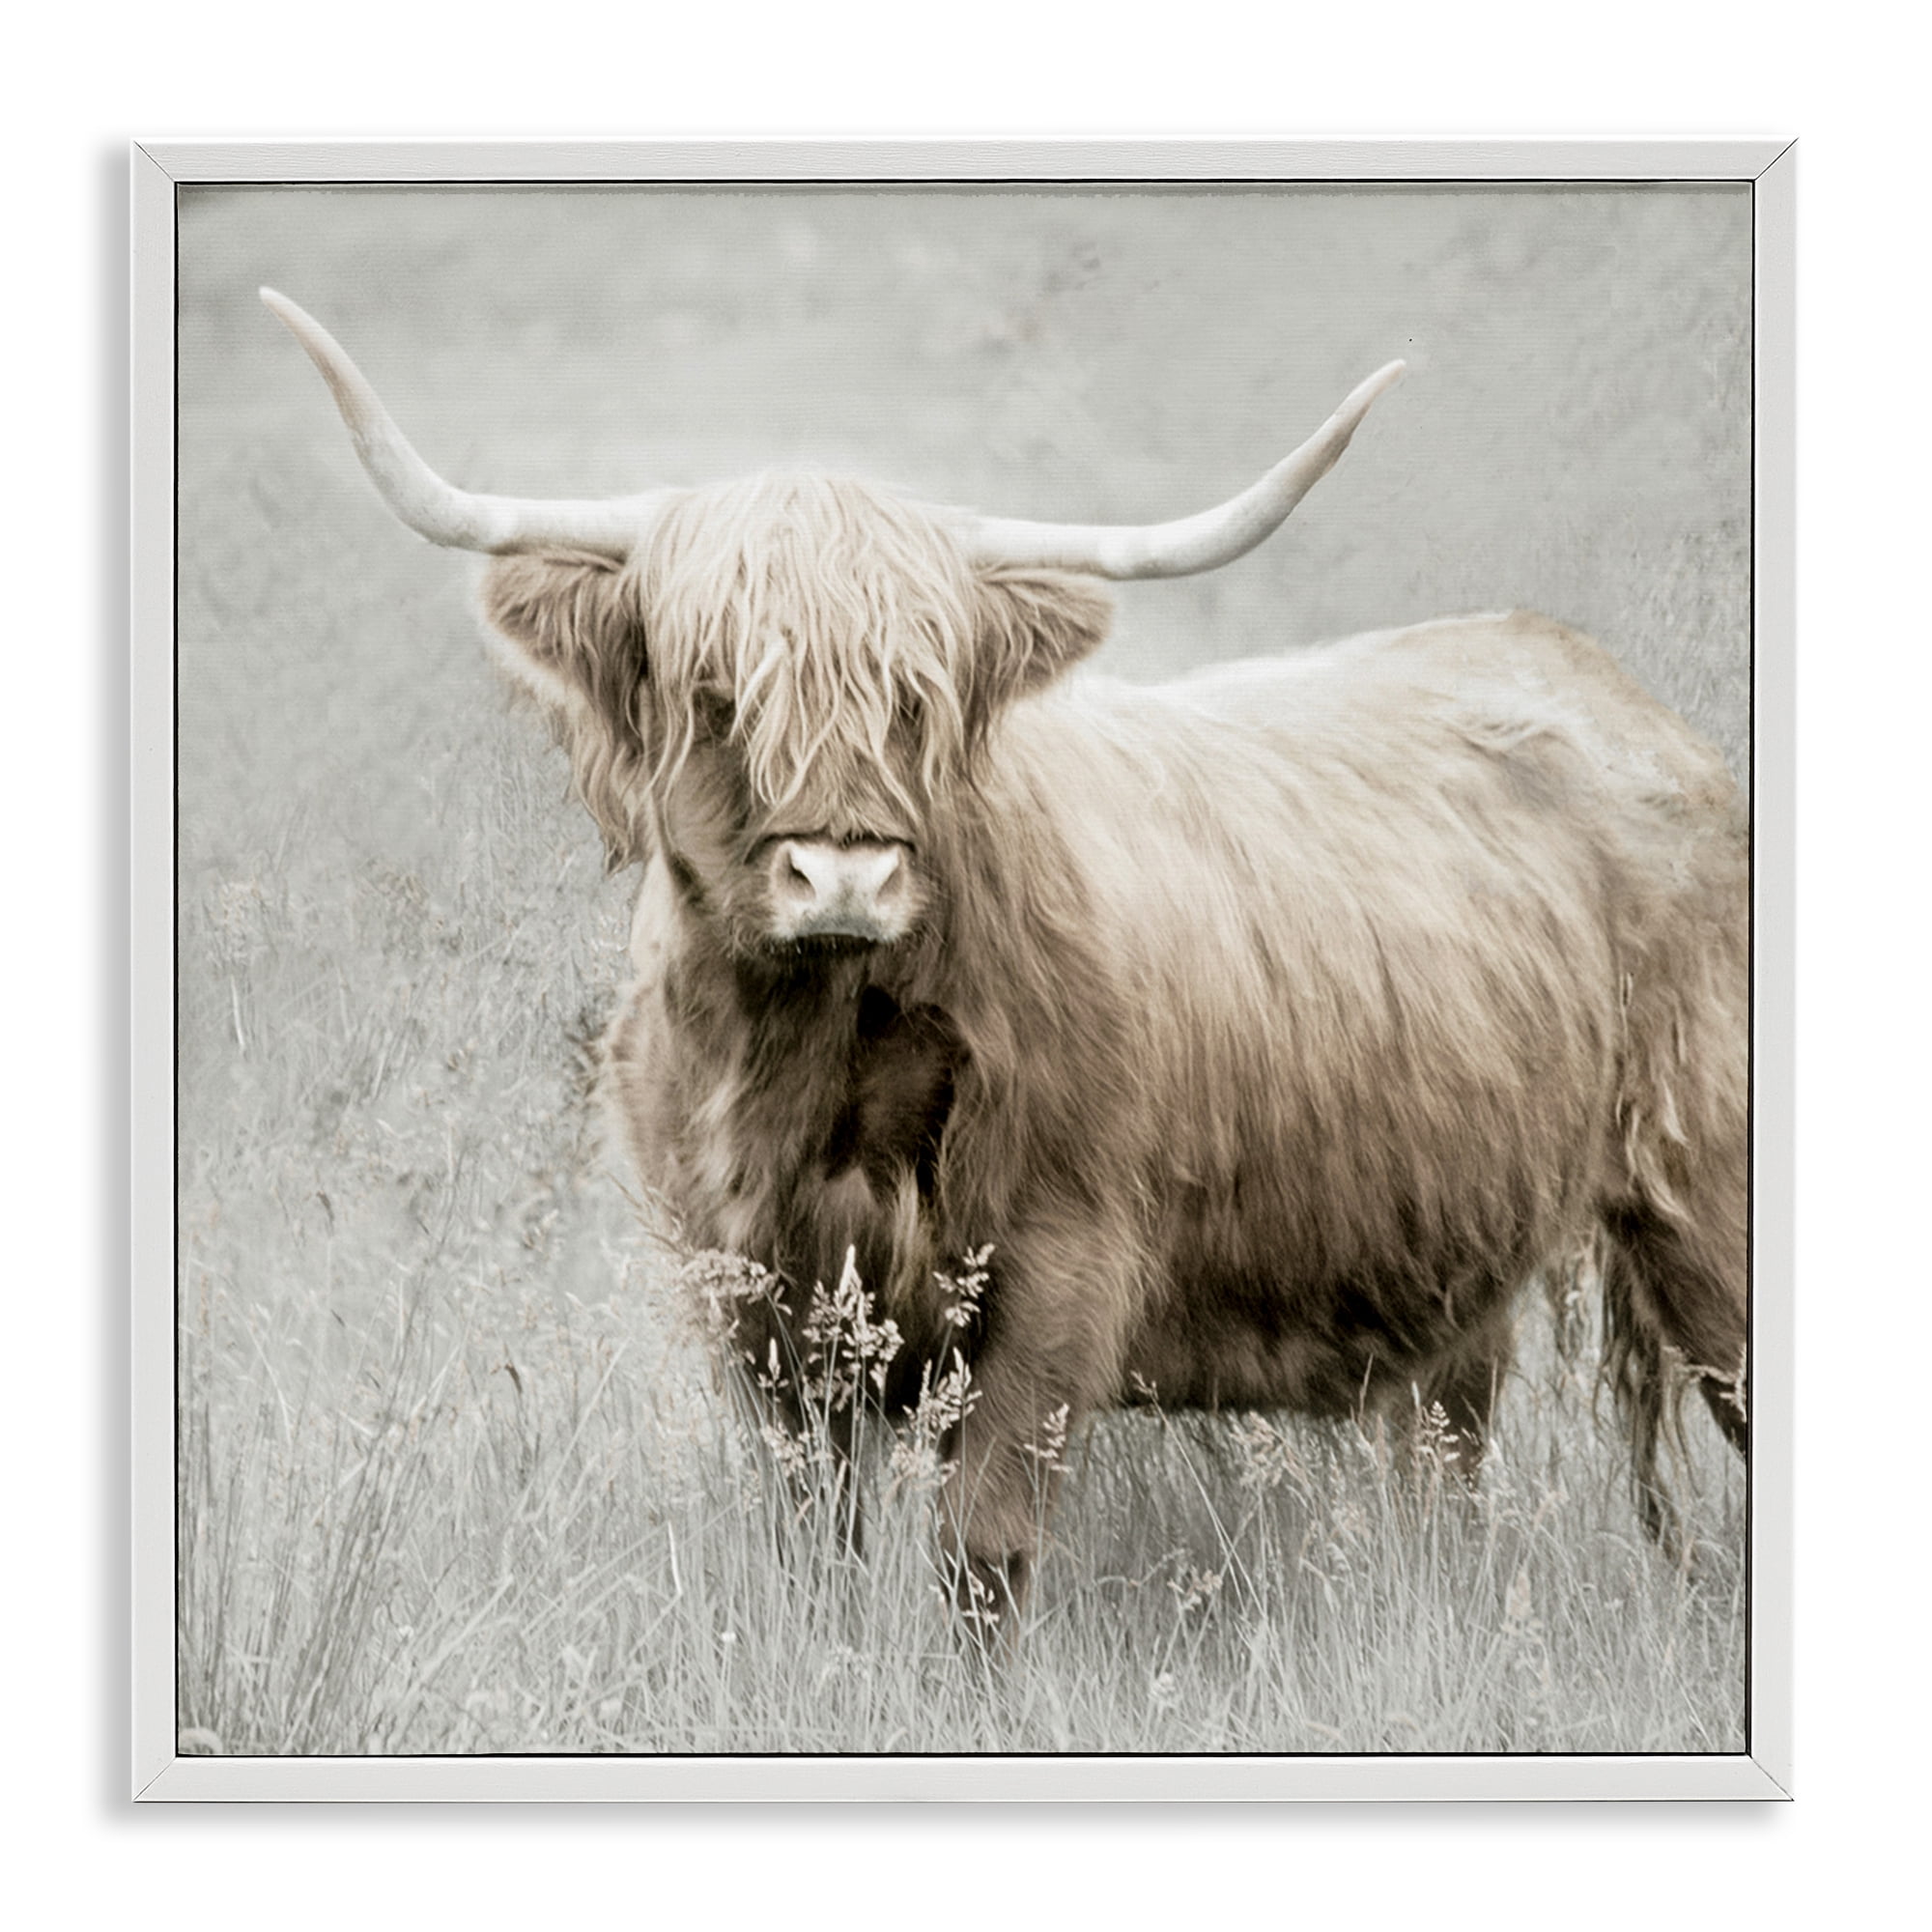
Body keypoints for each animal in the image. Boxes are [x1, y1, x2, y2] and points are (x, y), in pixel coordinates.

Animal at [263, 288, 1749, 1635]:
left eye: (916, 699)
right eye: (716, 692)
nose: (842, 876)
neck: (813, 1065)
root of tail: (1619, 697)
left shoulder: (1059, 1271)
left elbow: (980, 1553)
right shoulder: (747, 1298)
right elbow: (807, 1543)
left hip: (1704, 1194)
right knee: (1449, 1449)